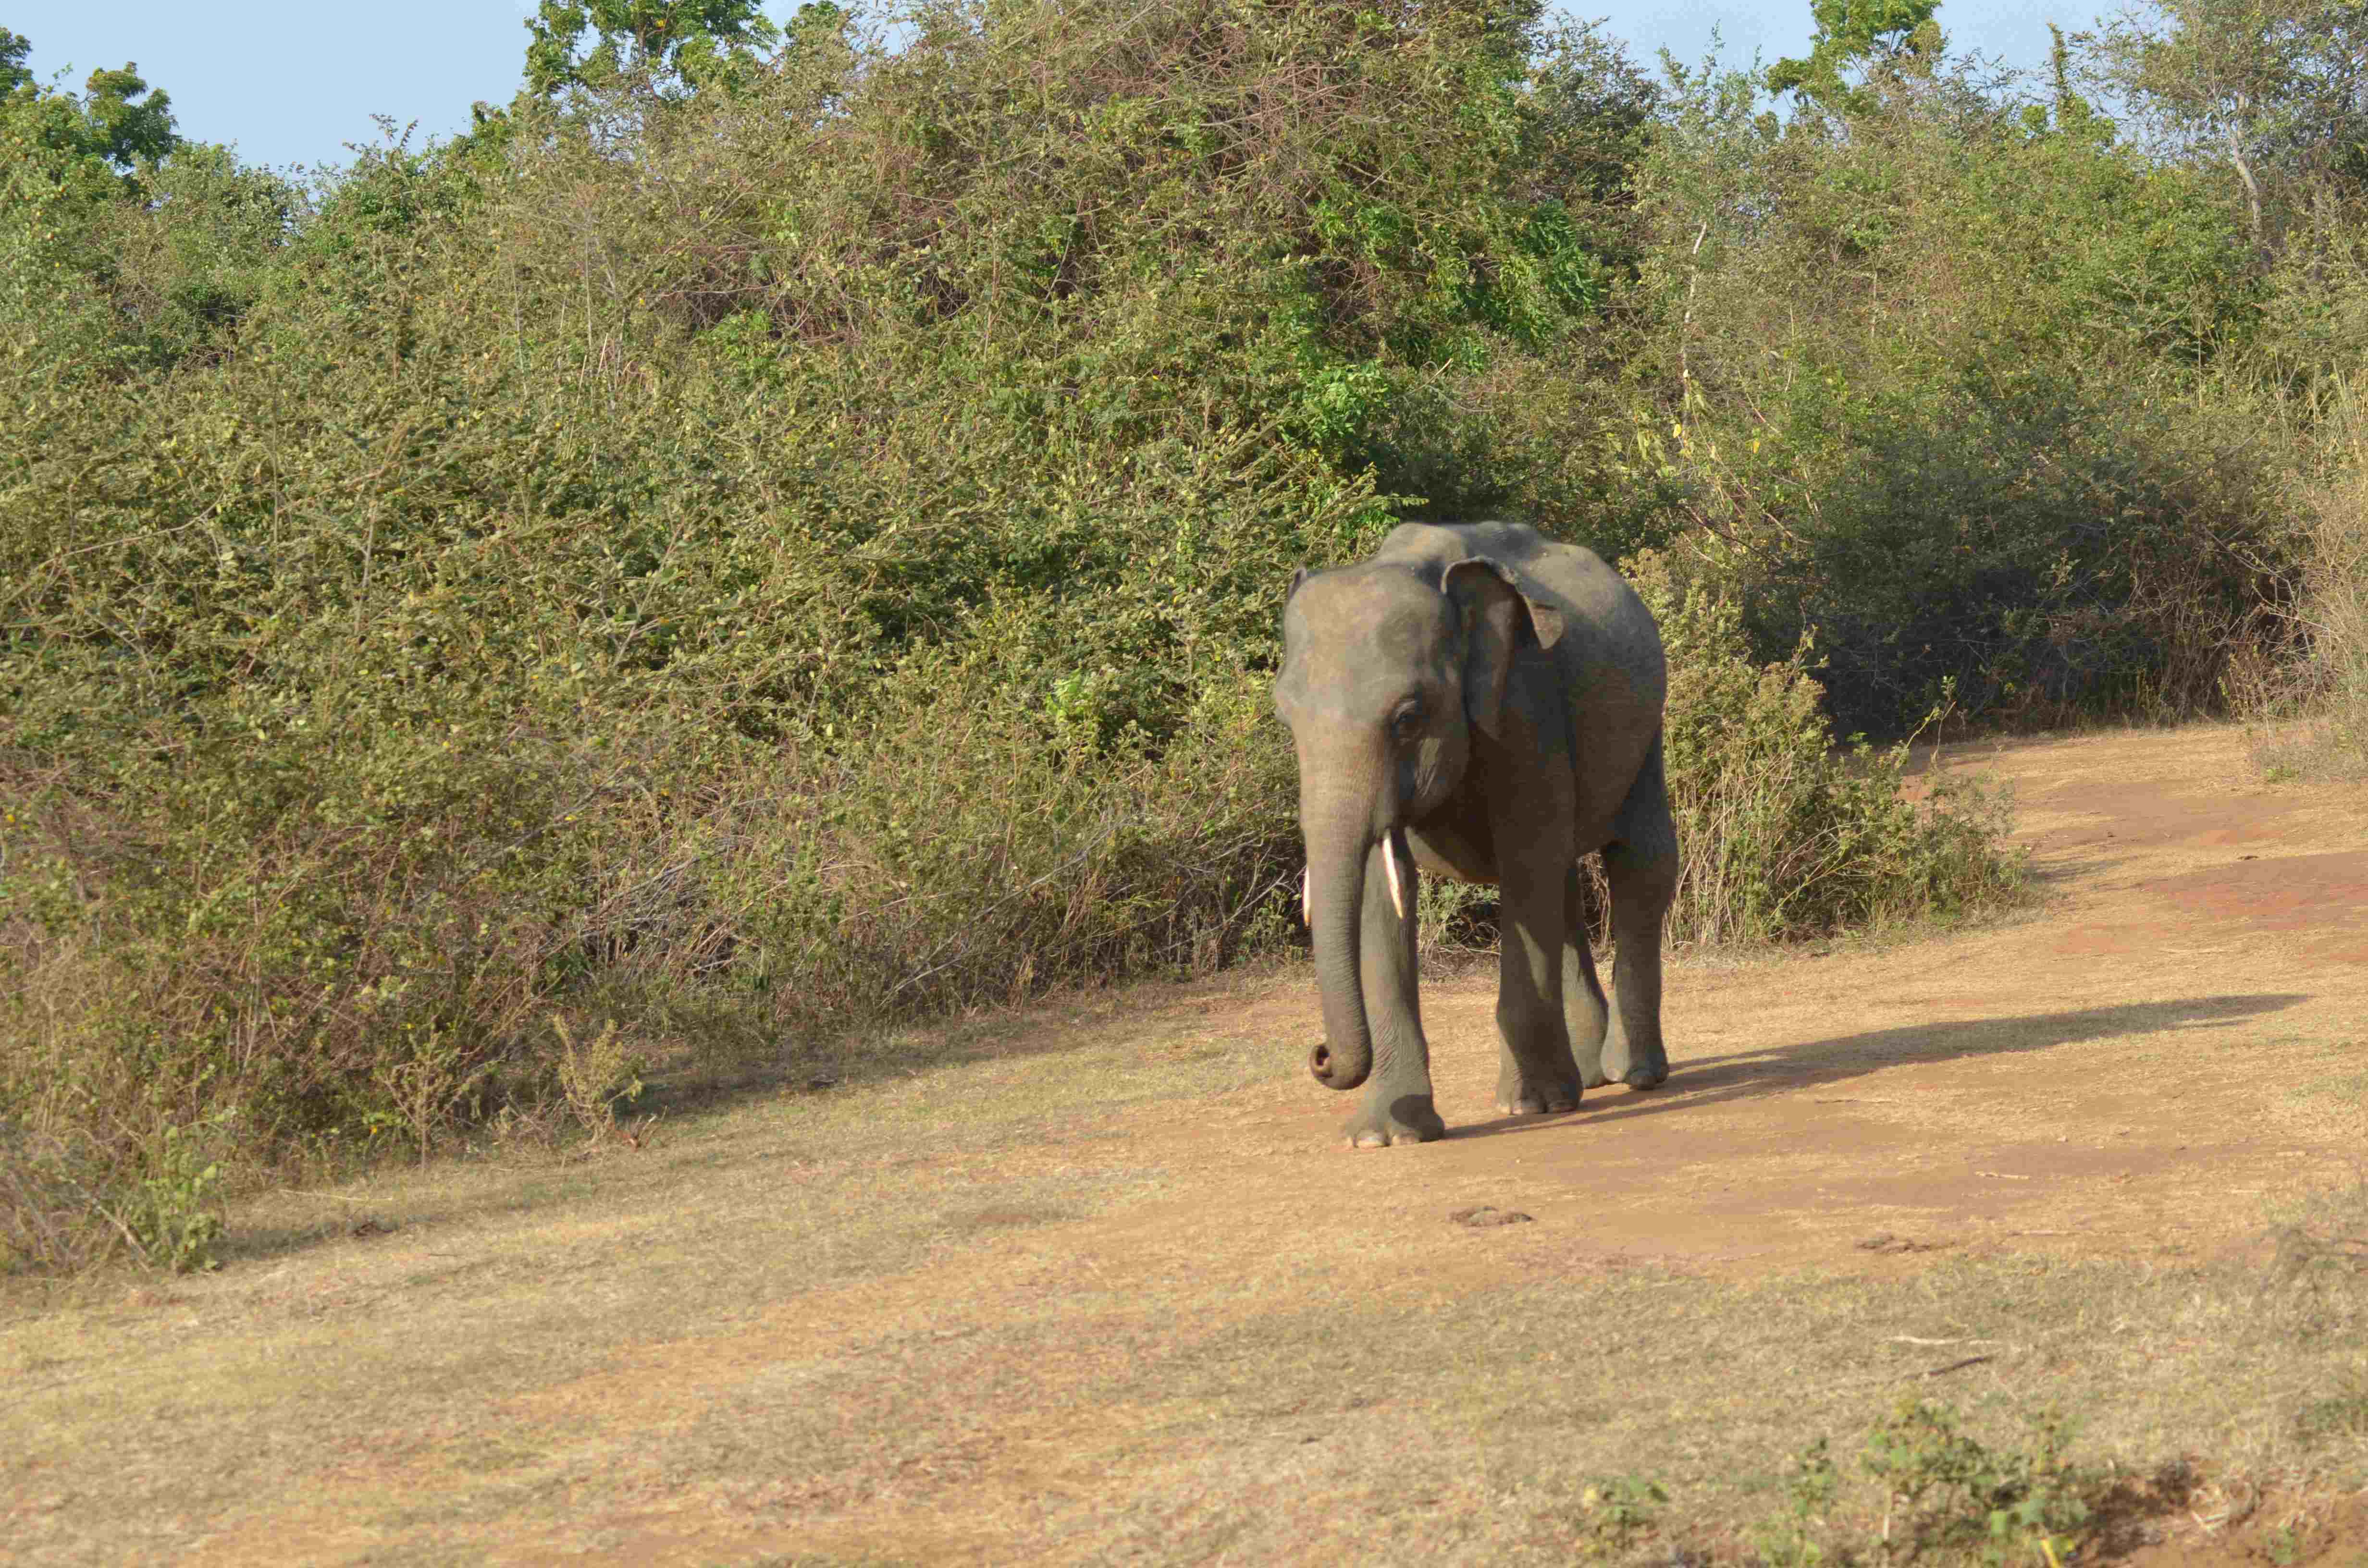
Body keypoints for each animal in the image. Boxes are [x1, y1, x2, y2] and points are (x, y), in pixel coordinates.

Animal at [1271, 520, 1677, 1148]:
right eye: (1284, 719)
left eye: (1407, 719)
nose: (1318, 1055)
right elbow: (1382, 894)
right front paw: (1384, 1137)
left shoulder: (1525, 708)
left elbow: (1526, 862)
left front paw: (1531, 1106)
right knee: (1563, 884)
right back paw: (1590, 1077)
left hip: (1645, 726)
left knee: (1638, 861)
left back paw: (1632, 1075)